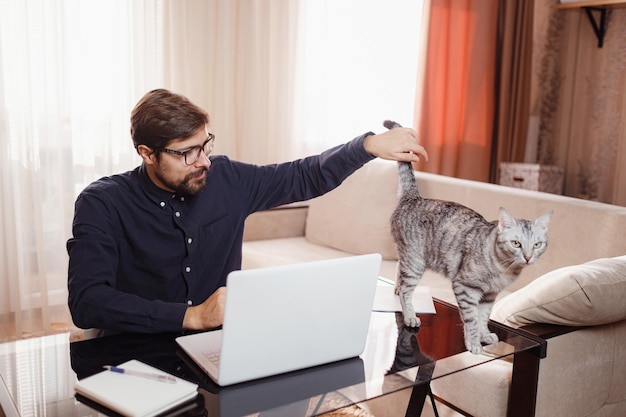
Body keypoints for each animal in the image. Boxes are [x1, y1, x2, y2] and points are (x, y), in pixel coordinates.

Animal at [386, 122, 552, 352]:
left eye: (536, 245)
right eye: (516, 243)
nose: (527, 257)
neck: (503, 270)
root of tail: (413, 197)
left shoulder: (489, 296)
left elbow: (484, 317)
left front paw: (485, 335)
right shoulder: (466, 288)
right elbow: (471, 319)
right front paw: (473, 343)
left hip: (408, 258)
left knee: (398, 272)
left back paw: (395, 289)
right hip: (415, 262)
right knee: (406, 291)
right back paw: (410, 315)